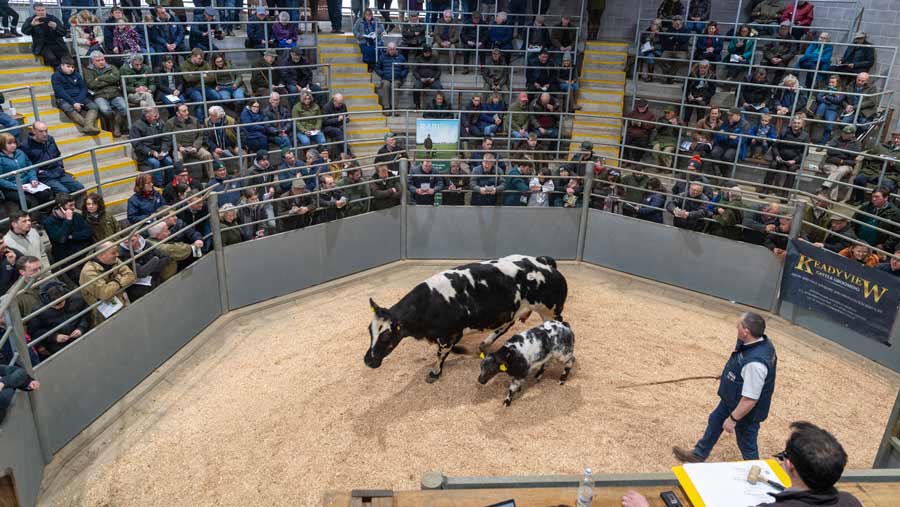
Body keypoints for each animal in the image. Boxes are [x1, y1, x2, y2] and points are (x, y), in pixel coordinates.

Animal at [364, 256, 564, 382]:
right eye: (370, 331)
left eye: (386, 336)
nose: (368, 360)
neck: (431, 302)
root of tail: (545, 262)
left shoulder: (449, 335)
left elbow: (441, 354)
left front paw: (435, 373)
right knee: (505, 325)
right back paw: (484, 344)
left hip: (550, 311)